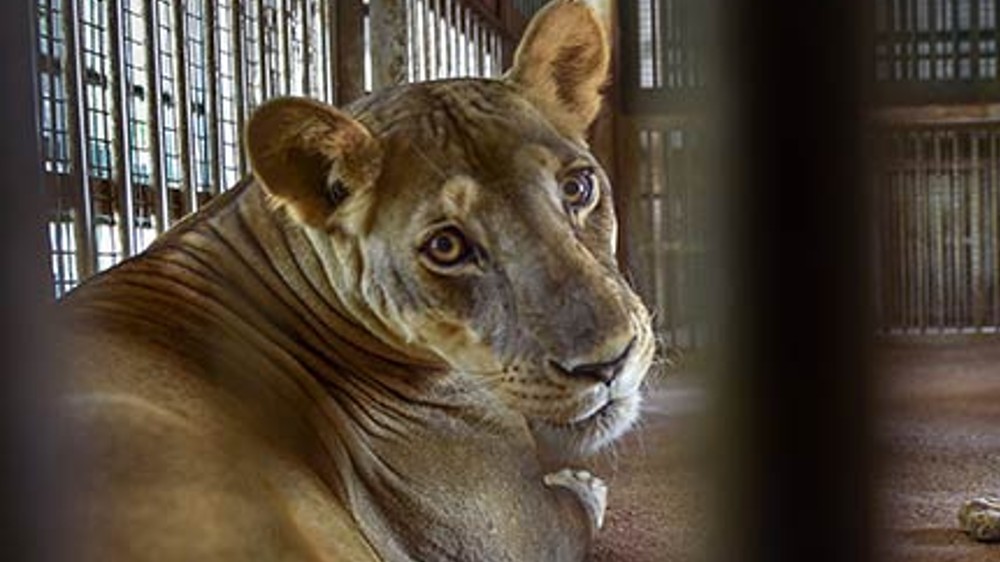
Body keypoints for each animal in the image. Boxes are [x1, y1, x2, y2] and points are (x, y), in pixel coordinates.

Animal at [58, 1, 654, 560]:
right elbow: (580, 503)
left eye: (578, 188)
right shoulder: (516, 535)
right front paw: (584, 480)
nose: (609, 362)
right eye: (446, 246)